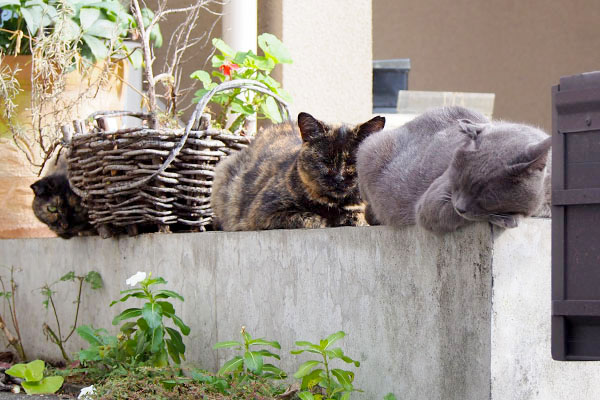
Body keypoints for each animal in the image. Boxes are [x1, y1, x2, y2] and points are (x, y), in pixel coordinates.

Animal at [213, 112, 386, 231]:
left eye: (352, 162)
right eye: (325, 161)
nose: (338, 178)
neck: (333, 205)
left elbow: (361, 216)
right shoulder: (262, 212)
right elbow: (306, 218)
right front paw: (325, 220)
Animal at [356, 104, 552, 233]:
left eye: (484, 195)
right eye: (457, 180)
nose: (459, 207)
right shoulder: (431, 202)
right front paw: (509, 218)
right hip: (369, 148)